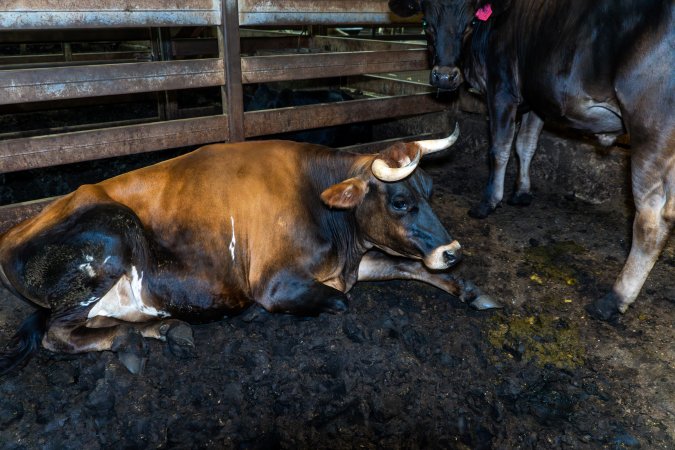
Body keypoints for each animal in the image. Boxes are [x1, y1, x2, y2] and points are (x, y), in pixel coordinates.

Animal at [0, 128, 496, 374]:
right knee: (57, 334)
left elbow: (408, 268)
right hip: (110, 236)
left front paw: (469, 289)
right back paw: (135, 341)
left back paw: (167, 329)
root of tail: (14, 231)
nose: (453, 250)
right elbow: (342, 301)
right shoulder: (277, 284)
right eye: (400, 201)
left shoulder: (356, 261)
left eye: (431, 191)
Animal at [390, 0, 675, 320]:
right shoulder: (537, 99)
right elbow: (526, 145)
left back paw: (613, 299)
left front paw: (489, 201)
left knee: (651, 222)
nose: (444, 76)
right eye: (426, 23)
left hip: (650, 127)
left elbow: (500, 149)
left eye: (470, 23)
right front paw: (522, 192)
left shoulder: (502, 91)